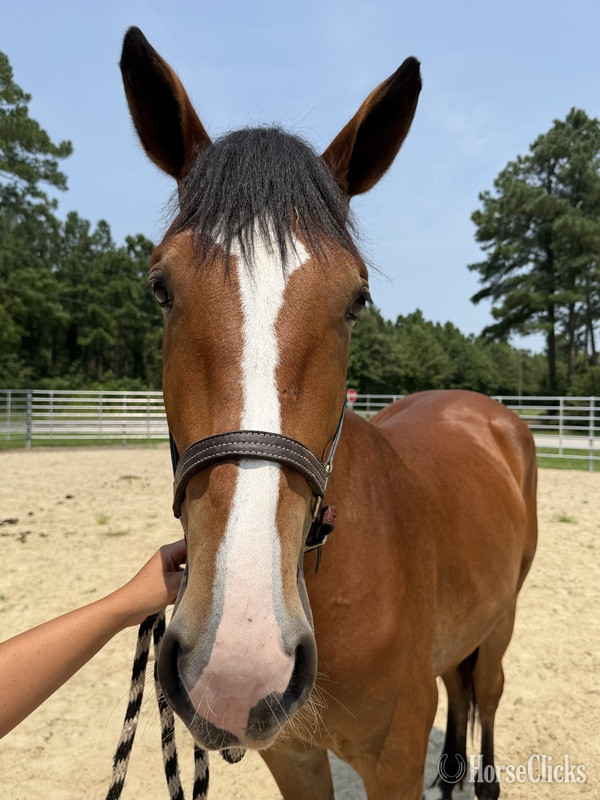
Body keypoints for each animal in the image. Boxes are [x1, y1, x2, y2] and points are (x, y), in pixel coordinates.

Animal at [119, 28, 537, 800]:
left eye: (357, 300)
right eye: (161, 286)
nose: (238, 663)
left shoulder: (395, 759)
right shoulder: (294, 757)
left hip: (503, 619)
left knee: (487, 691)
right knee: (458, 684)